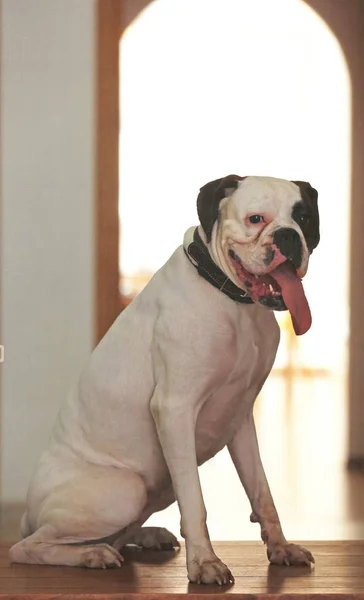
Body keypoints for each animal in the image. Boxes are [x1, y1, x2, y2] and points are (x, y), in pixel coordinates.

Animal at [9, 175, 320, 584]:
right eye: (256, 219)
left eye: (303, 218)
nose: (288, 237)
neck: (230, 299)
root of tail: (29, 513)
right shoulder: (175, 411)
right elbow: (196, 503)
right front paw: (204, 562)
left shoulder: (240, 419)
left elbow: (262, 492)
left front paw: (280, 547)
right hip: (126, 491)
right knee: (28, 547)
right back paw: (92, 554)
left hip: (155, 491)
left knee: (112, 533)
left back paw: (144, 535)